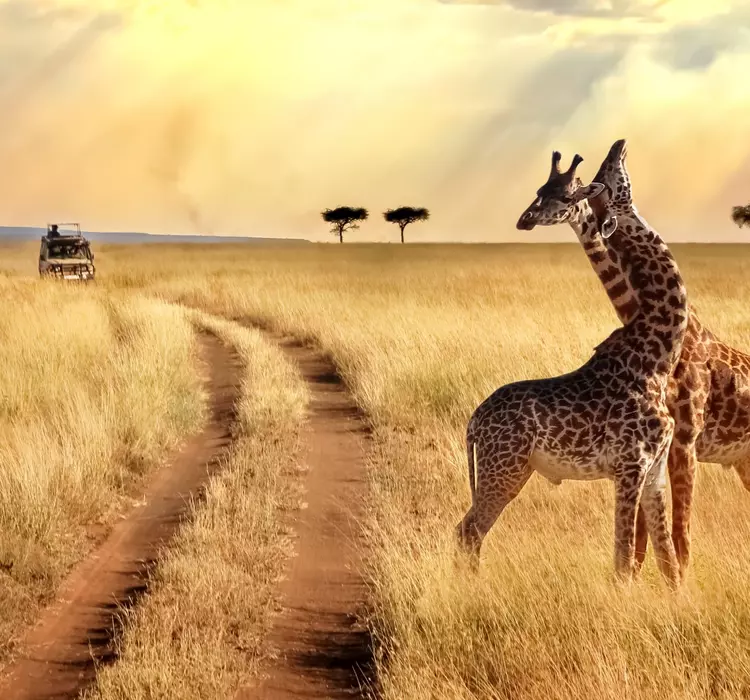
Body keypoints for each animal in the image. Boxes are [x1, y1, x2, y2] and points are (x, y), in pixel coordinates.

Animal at [456, 165, 689, 589]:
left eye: (564, 194)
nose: (526, 218)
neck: (658, 358)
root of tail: (474, 421)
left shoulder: (655, 472)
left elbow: (669, 563)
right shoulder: (630, 466)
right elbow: (623, 560)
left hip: (511, 470)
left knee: (467, 530)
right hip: (504, 468)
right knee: (469, 531)